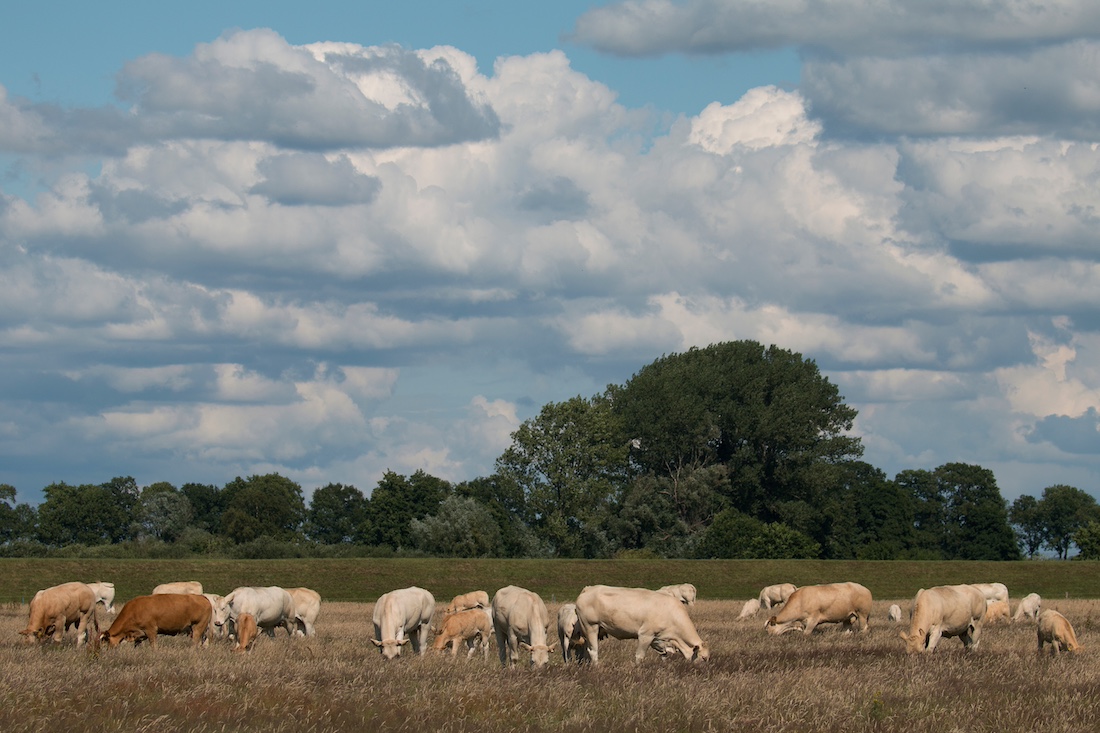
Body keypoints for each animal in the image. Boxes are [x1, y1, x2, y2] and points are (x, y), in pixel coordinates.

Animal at [572, 581, 708, 660]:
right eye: (704, 658)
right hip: (590, 626)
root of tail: (588, 589)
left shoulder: (658, 639)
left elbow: (665, 653)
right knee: (593, 651)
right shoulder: (645, 635)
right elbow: (640, 656)